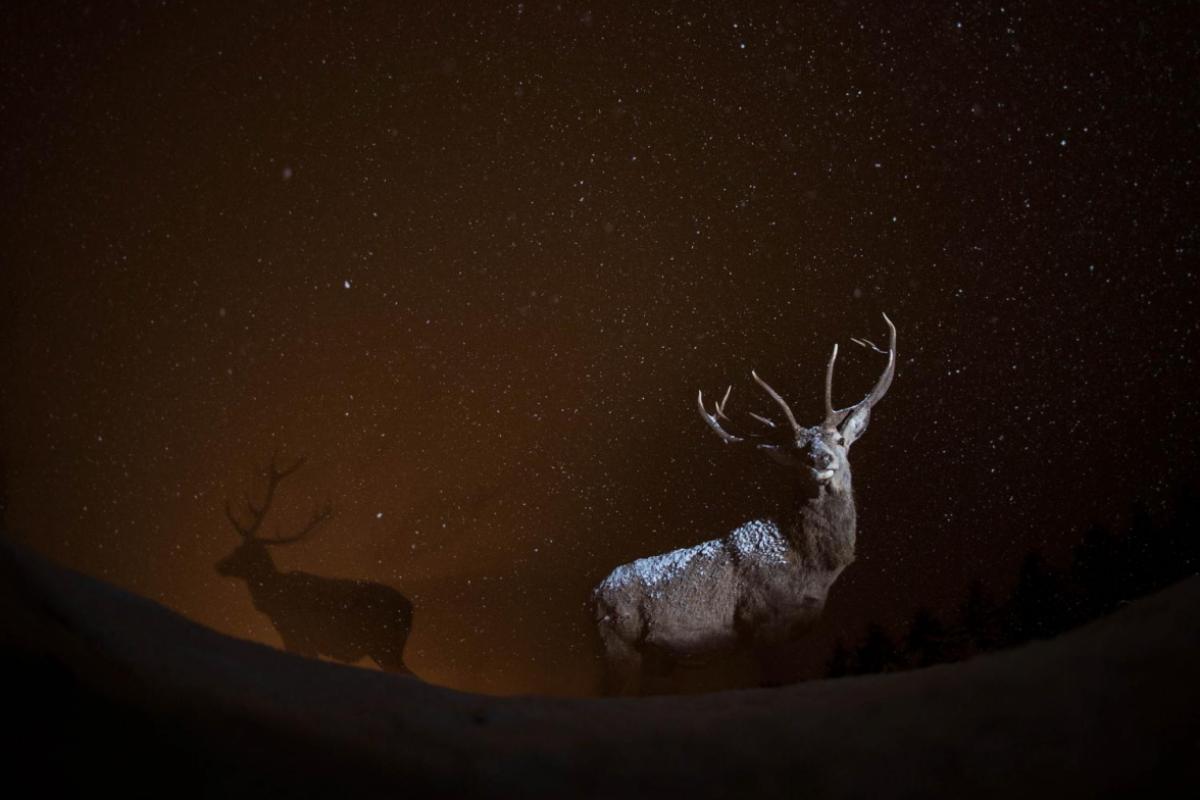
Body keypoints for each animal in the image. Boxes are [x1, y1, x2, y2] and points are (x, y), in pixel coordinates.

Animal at [218, 456, 415, 674]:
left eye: (242, 551)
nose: (220, 565)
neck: (273, 602)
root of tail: (411, 610)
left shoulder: (297, 634)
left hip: (385, 647)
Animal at [592, 314, 896, 694]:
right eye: (799, 451)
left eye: (840, 439)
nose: (821, 459)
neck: (815, 567)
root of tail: (594, 595)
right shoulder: (763, 619)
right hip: (620, 645)